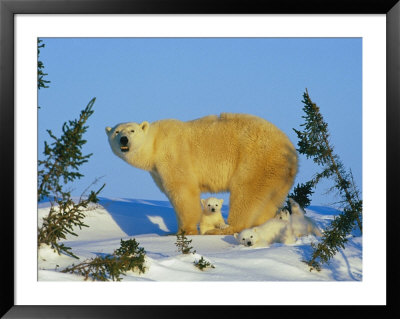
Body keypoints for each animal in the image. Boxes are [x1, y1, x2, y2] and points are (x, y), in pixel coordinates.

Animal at [105, 112, 296, 235]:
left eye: (132, 130)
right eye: (116, 131)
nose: (123, 140)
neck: (155, 143)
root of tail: (290, 150)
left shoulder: (174, 154)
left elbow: (183, 190)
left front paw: (184, 231)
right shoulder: (156, 171)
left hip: (256, 159)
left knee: (246, 194)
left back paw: (227, 228)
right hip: (278, 174)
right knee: (270, 200)